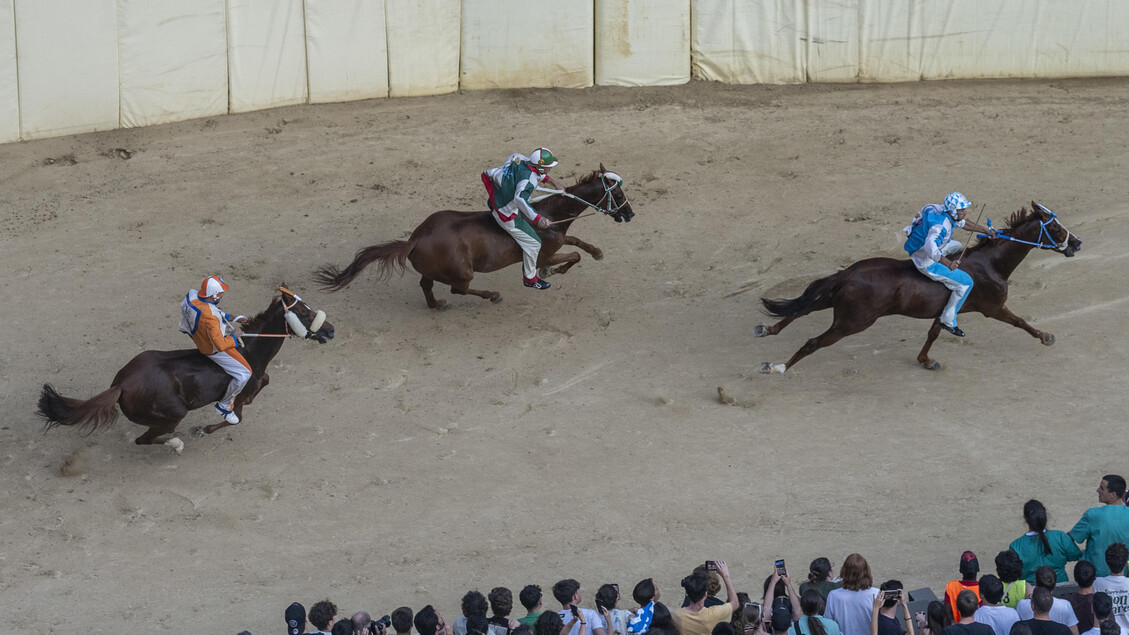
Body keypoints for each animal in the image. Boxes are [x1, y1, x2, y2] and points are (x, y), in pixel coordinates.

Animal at [36, 284, 334, 451]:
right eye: (304, 312)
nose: (330, 331)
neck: (249, 349)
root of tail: (120, 385)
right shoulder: (241, 387)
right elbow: (236, 415)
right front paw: (202, 429)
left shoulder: (258, 378)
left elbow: (265, 381)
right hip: (172, 414)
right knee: (144, 439)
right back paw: (176, 443)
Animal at [313, 163, 636, 307]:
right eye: (619, 194)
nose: (630, 215)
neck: (550, 213)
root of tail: (415, 239)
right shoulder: (543, 250)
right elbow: (572, 255)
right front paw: (548, 274)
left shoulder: (556, 238)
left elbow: (579, 244)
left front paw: (597, 252)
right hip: (464, 272)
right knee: (458, 289)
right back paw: (492, 295)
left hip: (435, 269)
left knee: (426, 285)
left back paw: (436, 305)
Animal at [754, 202, 1079, 370]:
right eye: (1054, 227)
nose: (1076, 243)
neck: (991, 263)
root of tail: (848, 273)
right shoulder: (993, 307)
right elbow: (1020, 321)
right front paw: (1046, 336)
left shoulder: (945, 309)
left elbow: (935, 331)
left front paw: (926, 360)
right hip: (853, 321)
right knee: (812, 342)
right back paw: (777, 366)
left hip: (836, 302)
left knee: (802, 309)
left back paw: (766, 329)